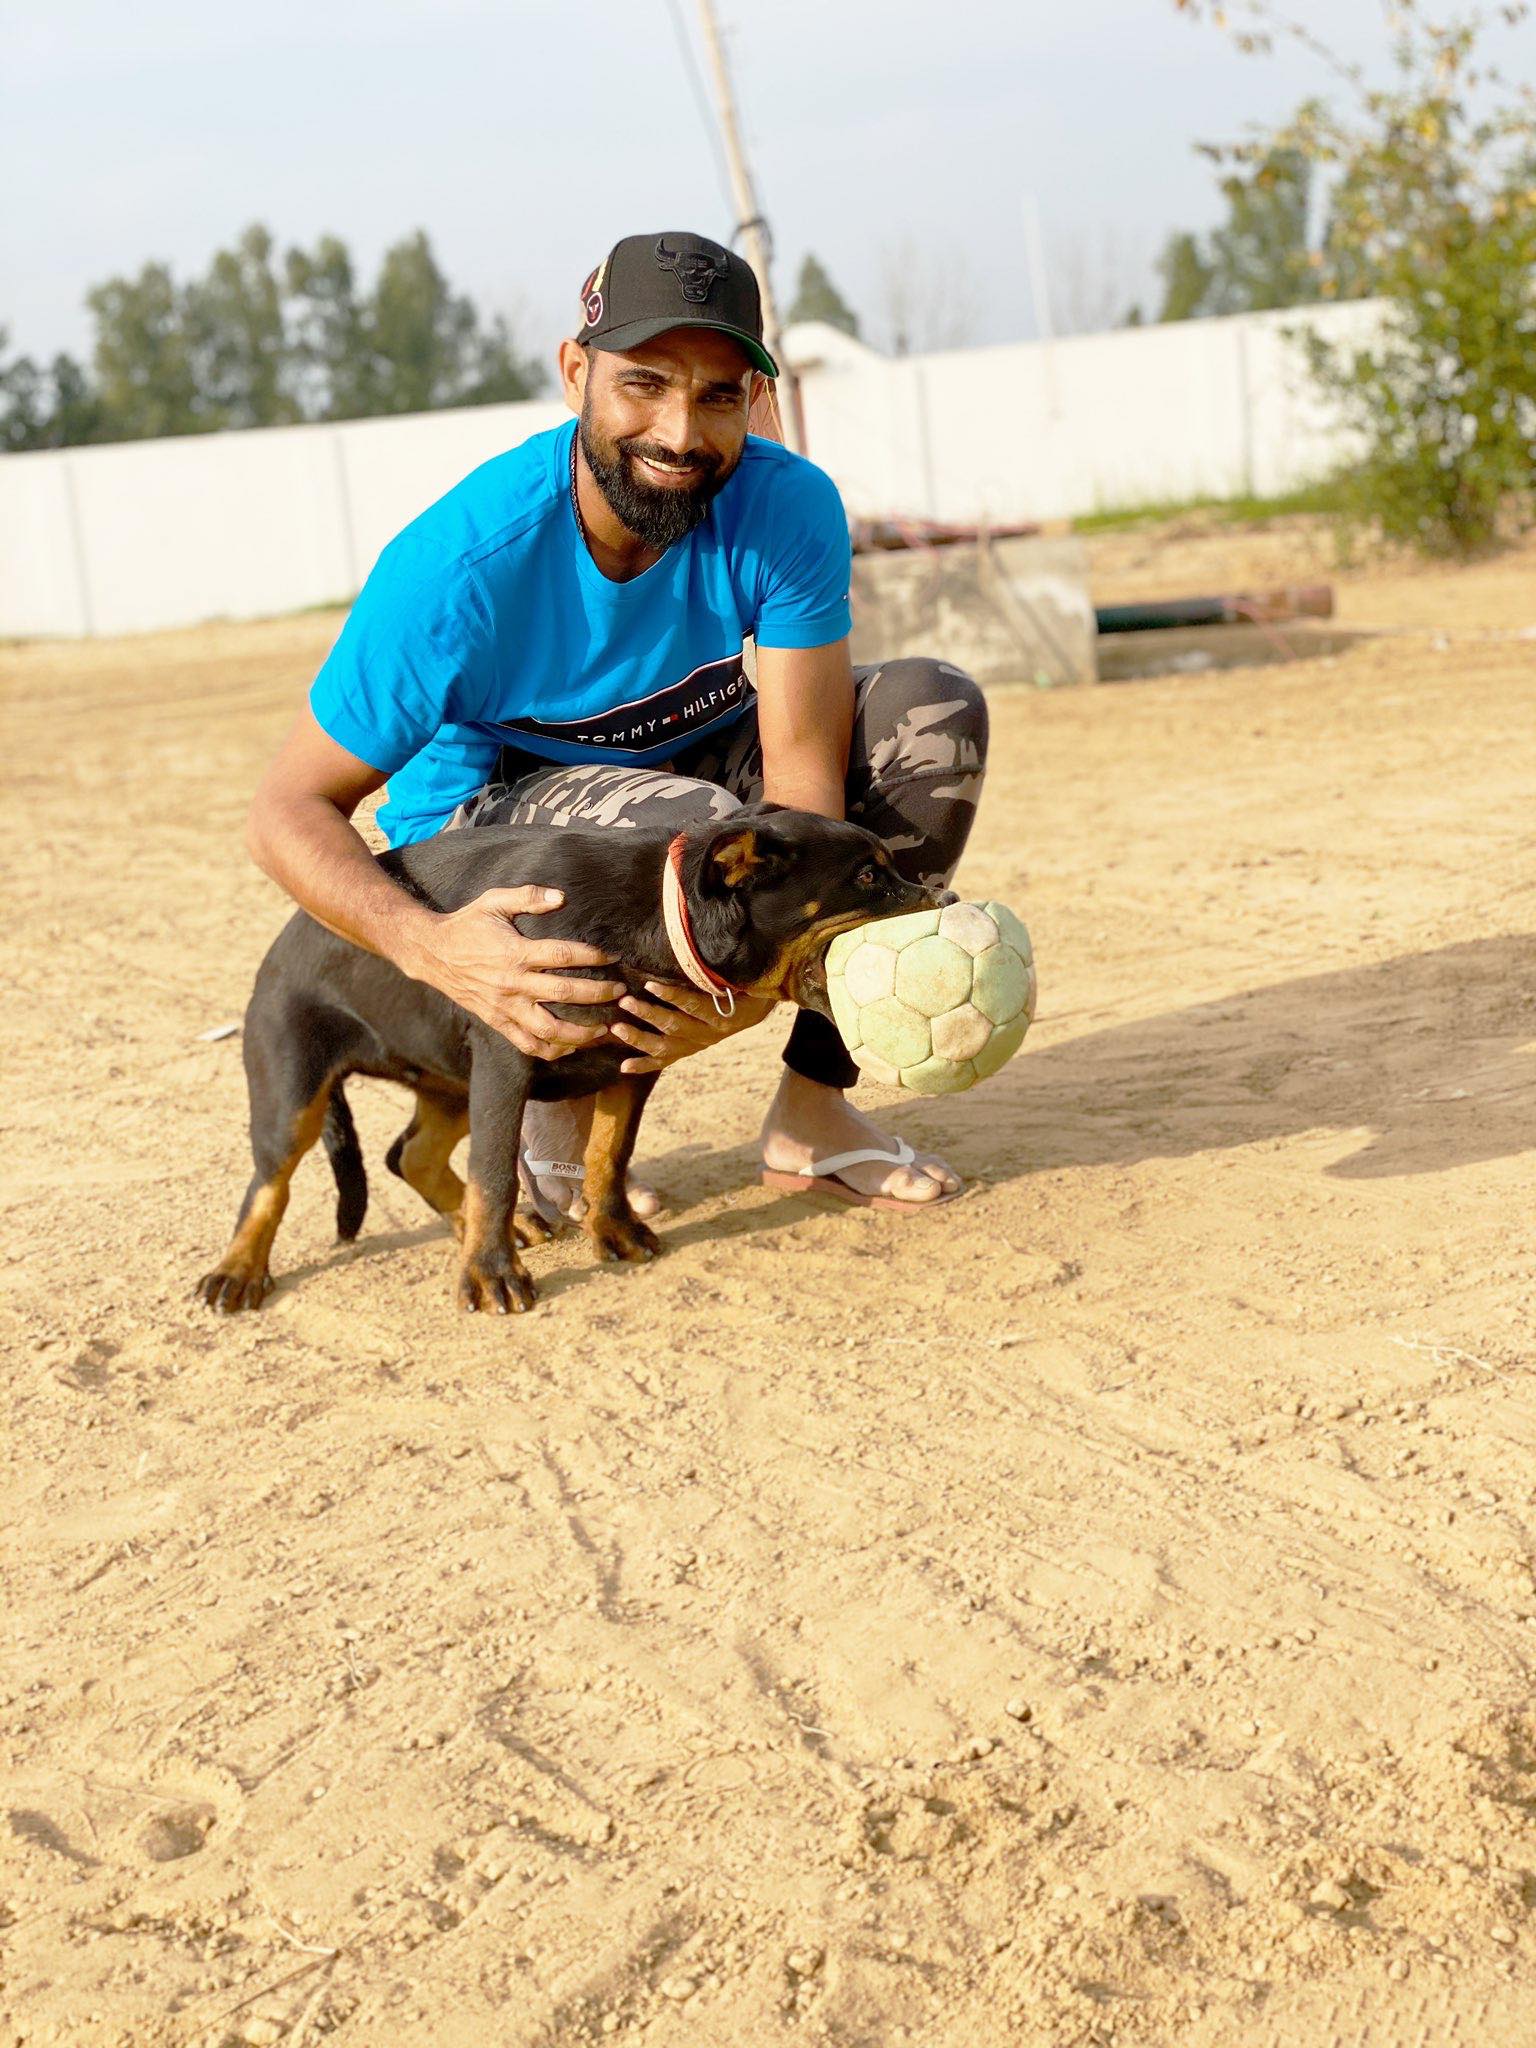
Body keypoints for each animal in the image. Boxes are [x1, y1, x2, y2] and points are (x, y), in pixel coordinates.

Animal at [198, 806, 946, 1318]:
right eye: (868, 876)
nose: (947, 898)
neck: (652, 916)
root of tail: (283, 939)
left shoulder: (632, 1061)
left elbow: (607, 1155)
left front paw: (612, 1231)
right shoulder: (507, 1060)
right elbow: (497, 1174)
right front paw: (490, 1274)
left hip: (450, 1081)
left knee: (410, 1154)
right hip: (296, 1088)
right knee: (270, 1184)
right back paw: (237, 1272)